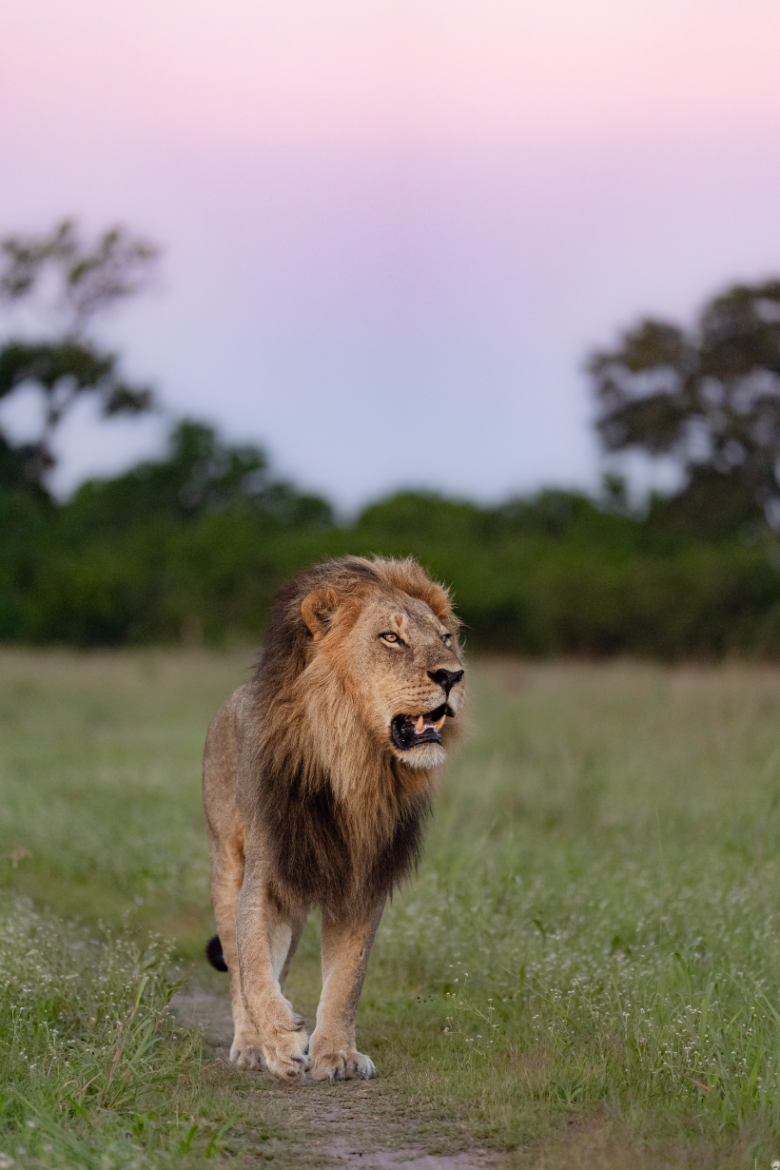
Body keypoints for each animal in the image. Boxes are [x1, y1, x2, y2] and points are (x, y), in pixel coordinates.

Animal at [204, 552, 467, 1081]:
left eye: (445, 638)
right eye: (391, 638)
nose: (453, 675)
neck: (354, 763)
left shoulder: (361, 880)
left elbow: (348, 977)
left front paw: (337, 1054)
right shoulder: (267, 874)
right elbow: (253, 964)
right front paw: (281, 1040)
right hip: (225, 862)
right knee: (238, 964)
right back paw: (251, 1044)